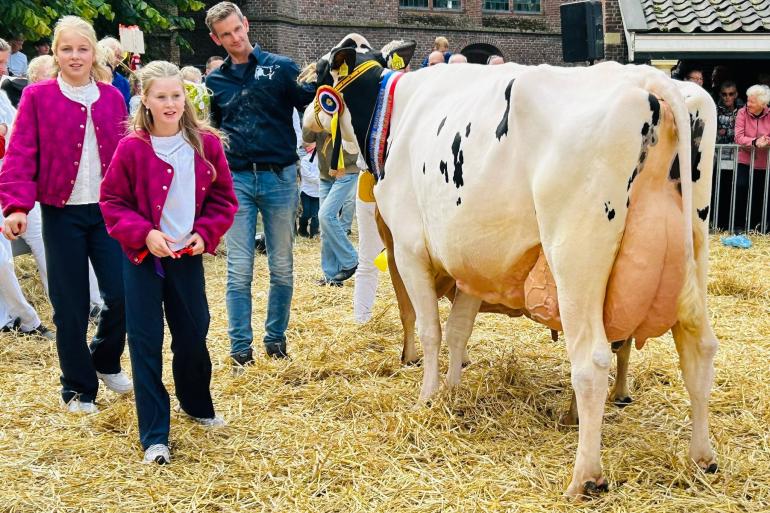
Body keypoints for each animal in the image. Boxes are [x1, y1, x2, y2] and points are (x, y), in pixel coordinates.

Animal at [304, 35, 716, 496]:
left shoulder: (410, 249)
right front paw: (452, 392)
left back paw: (584, 476)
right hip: (693, 252)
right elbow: (459, 332)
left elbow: (431, 331)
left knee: (592, 360)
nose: (306, 128)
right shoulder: (472, 262)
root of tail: (646, 77)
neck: (395, 112)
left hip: (576, 257)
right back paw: (701, 458)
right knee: (699, 348)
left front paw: (428, 396)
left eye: (318, 80)